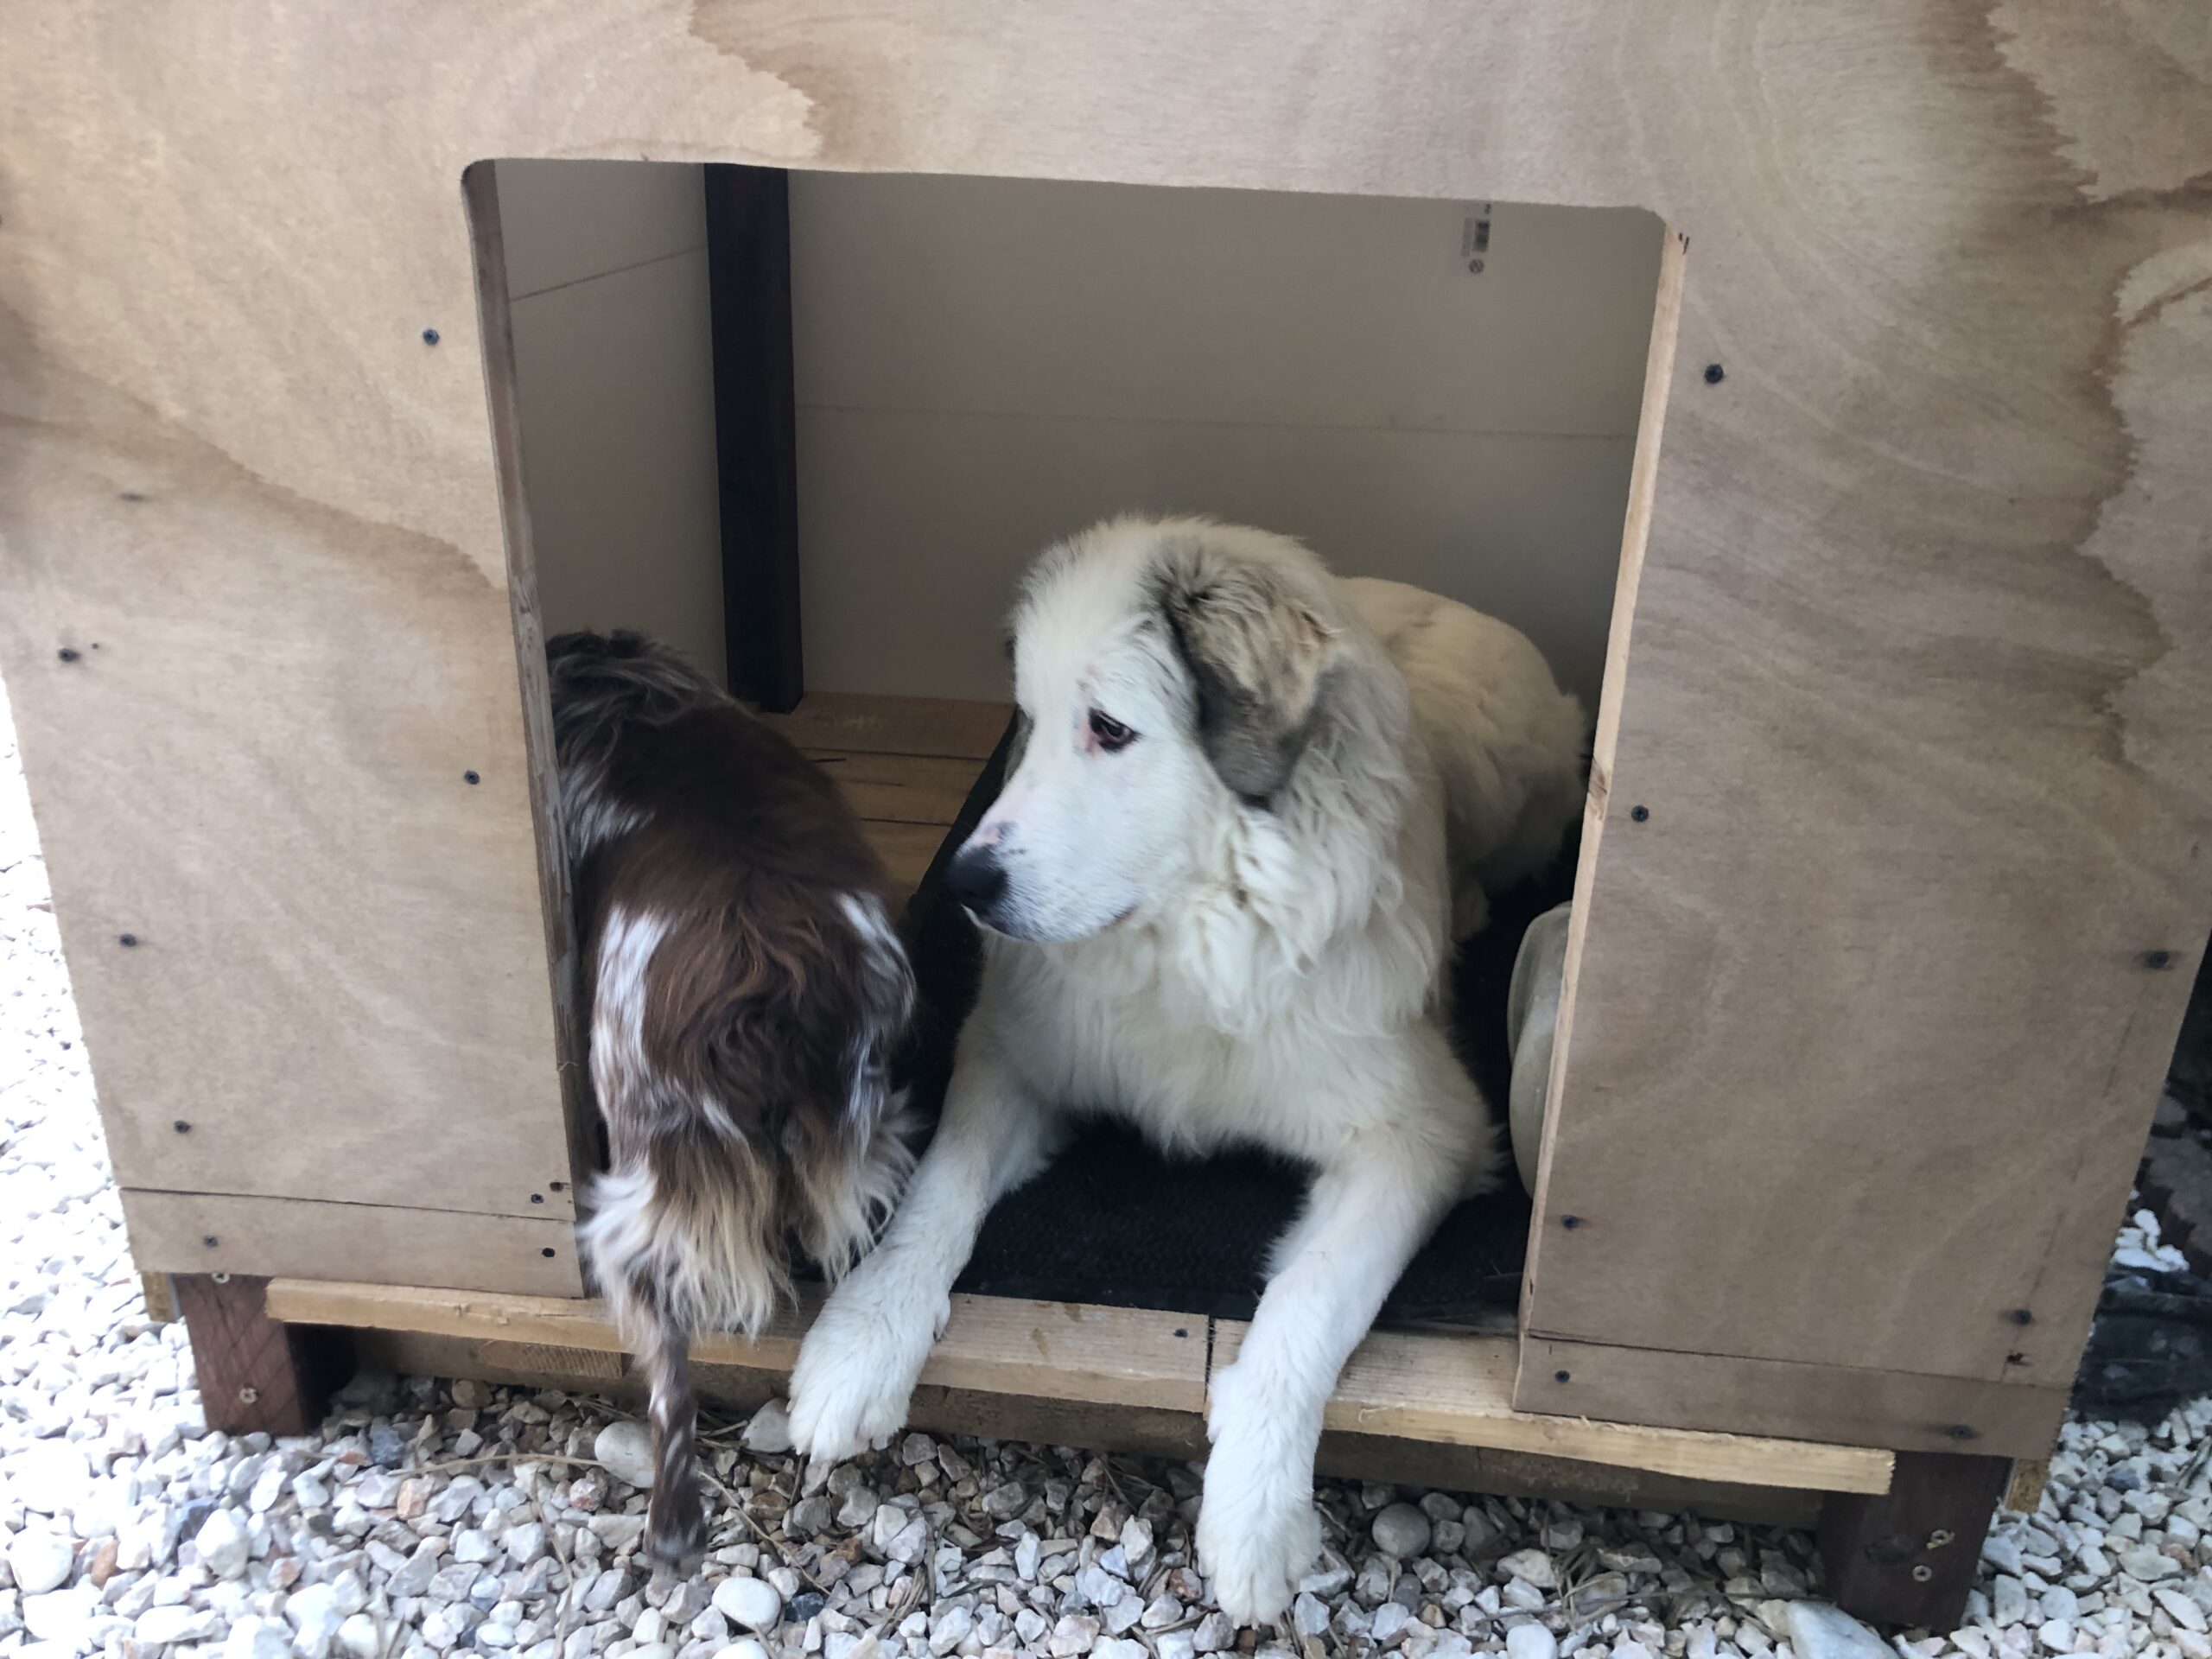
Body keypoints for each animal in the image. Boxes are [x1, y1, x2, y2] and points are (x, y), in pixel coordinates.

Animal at [548, 632, 919, 1574]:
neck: (631, 702)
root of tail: (768, 986)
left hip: (643, 1189)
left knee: (668, 1375)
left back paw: (673, 1530)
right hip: (868, 1137)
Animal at [787, 519, 1583, 1628]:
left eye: (1109, 729)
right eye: (1029, 720)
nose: (965, 885)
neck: (1194, 937)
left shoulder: (1421, 1135)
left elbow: (1309, 1303)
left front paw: (1254, 1512)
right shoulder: (1009, 1060)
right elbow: (935, 1198)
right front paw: (859, 1341)